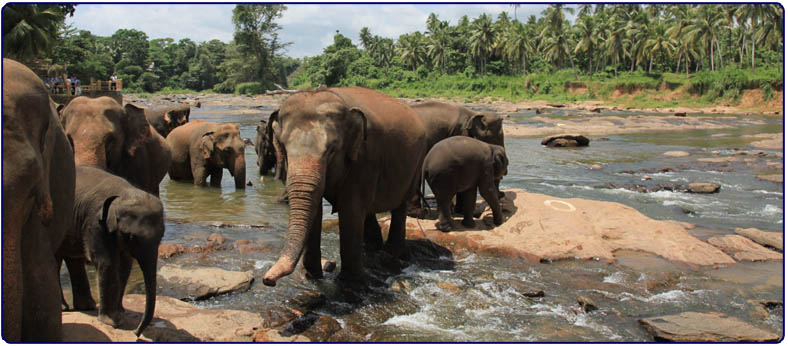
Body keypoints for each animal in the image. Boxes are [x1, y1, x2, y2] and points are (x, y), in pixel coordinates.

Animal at [58, 166, 165, 336]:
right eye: (131, 237)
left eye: (162, 235)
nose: (136, 332)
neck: (122, 194)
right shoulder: (95, 224)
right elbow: (108, 263)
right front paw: (112, 322)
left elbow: (124, 266)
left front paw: (120, 313)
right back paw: (65, 308)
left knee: (73, 259)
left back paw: (86, 306)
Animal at [264, 87, 428, 286]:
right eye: (284, 148)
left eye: (332, 151)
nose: (268, 280)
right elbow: (316, 209)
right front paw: (311, 276)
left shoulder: (365, 158)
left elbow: (350, 210)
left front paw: (349, 282)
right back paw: (372, 249)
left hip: (416, 165)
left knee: (399, 207)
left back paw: (391, 254)